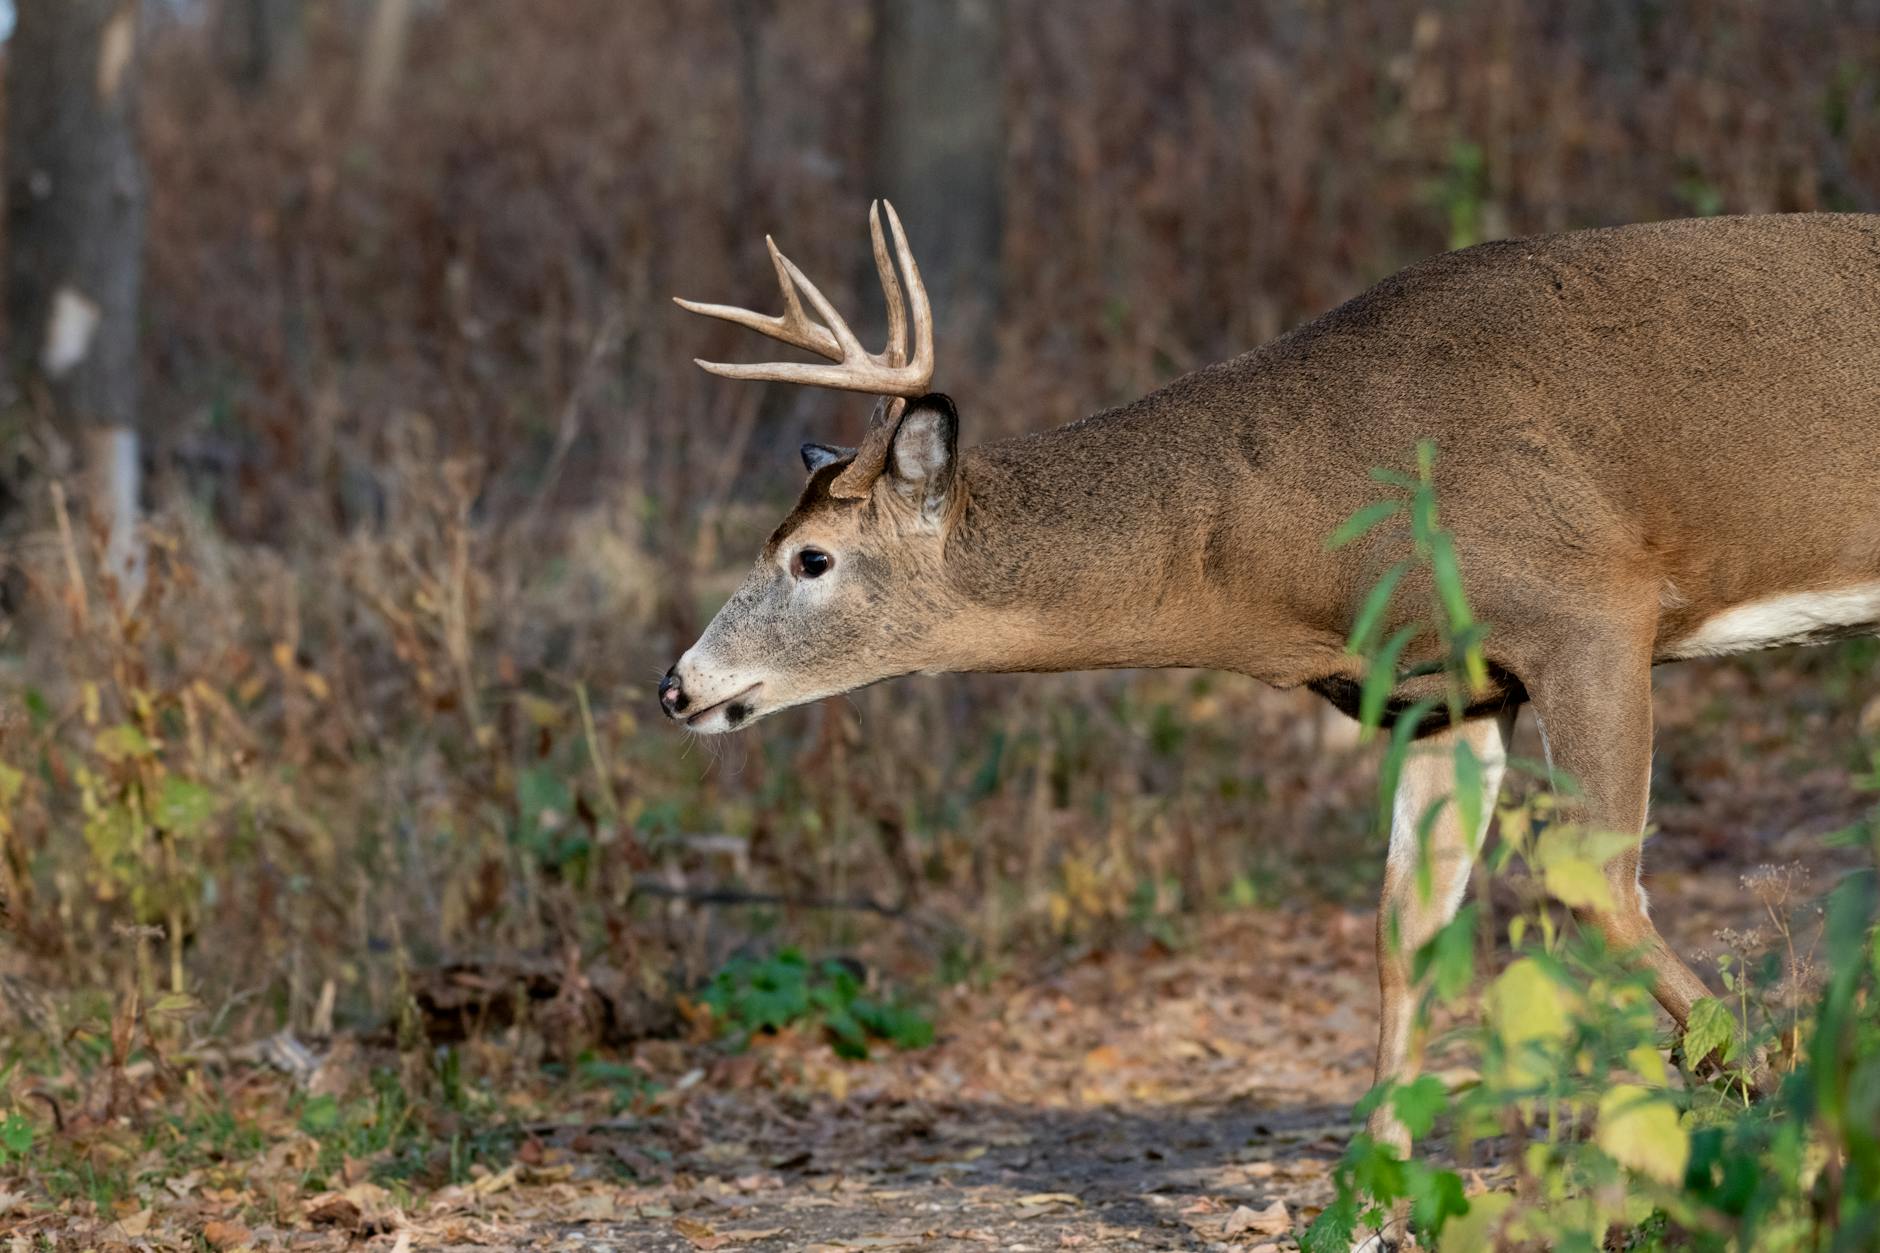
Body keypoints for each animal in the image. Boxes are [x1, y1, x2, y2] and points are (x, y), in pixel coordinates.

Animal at [660, 201, 1880, 1225]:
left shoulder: (1589, 611)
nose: (679, 684)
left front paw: (1795, 1129)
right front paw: (1368, 1203)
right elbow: (1403, 929)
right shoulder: (1442, 690)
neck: (1307, 546)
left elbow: (1602, 892)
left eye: (812, 558)